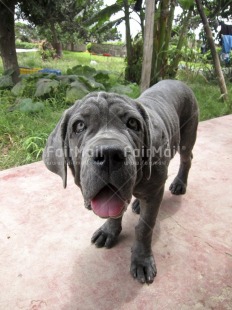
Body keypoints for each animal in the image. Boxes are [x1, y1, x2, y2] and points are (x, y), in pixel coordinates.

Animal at [44, 79, 199, 284]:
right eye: (79, 126)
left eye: (133, 123)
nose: (109, 154)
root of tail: (179, 81)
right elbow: (114, 212)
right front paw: (109, 231)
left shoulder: (155, 189)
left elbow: (144, 227)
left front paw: (142, 260)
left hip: (187, 135)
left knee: (187, 158)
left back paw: (179, 183)